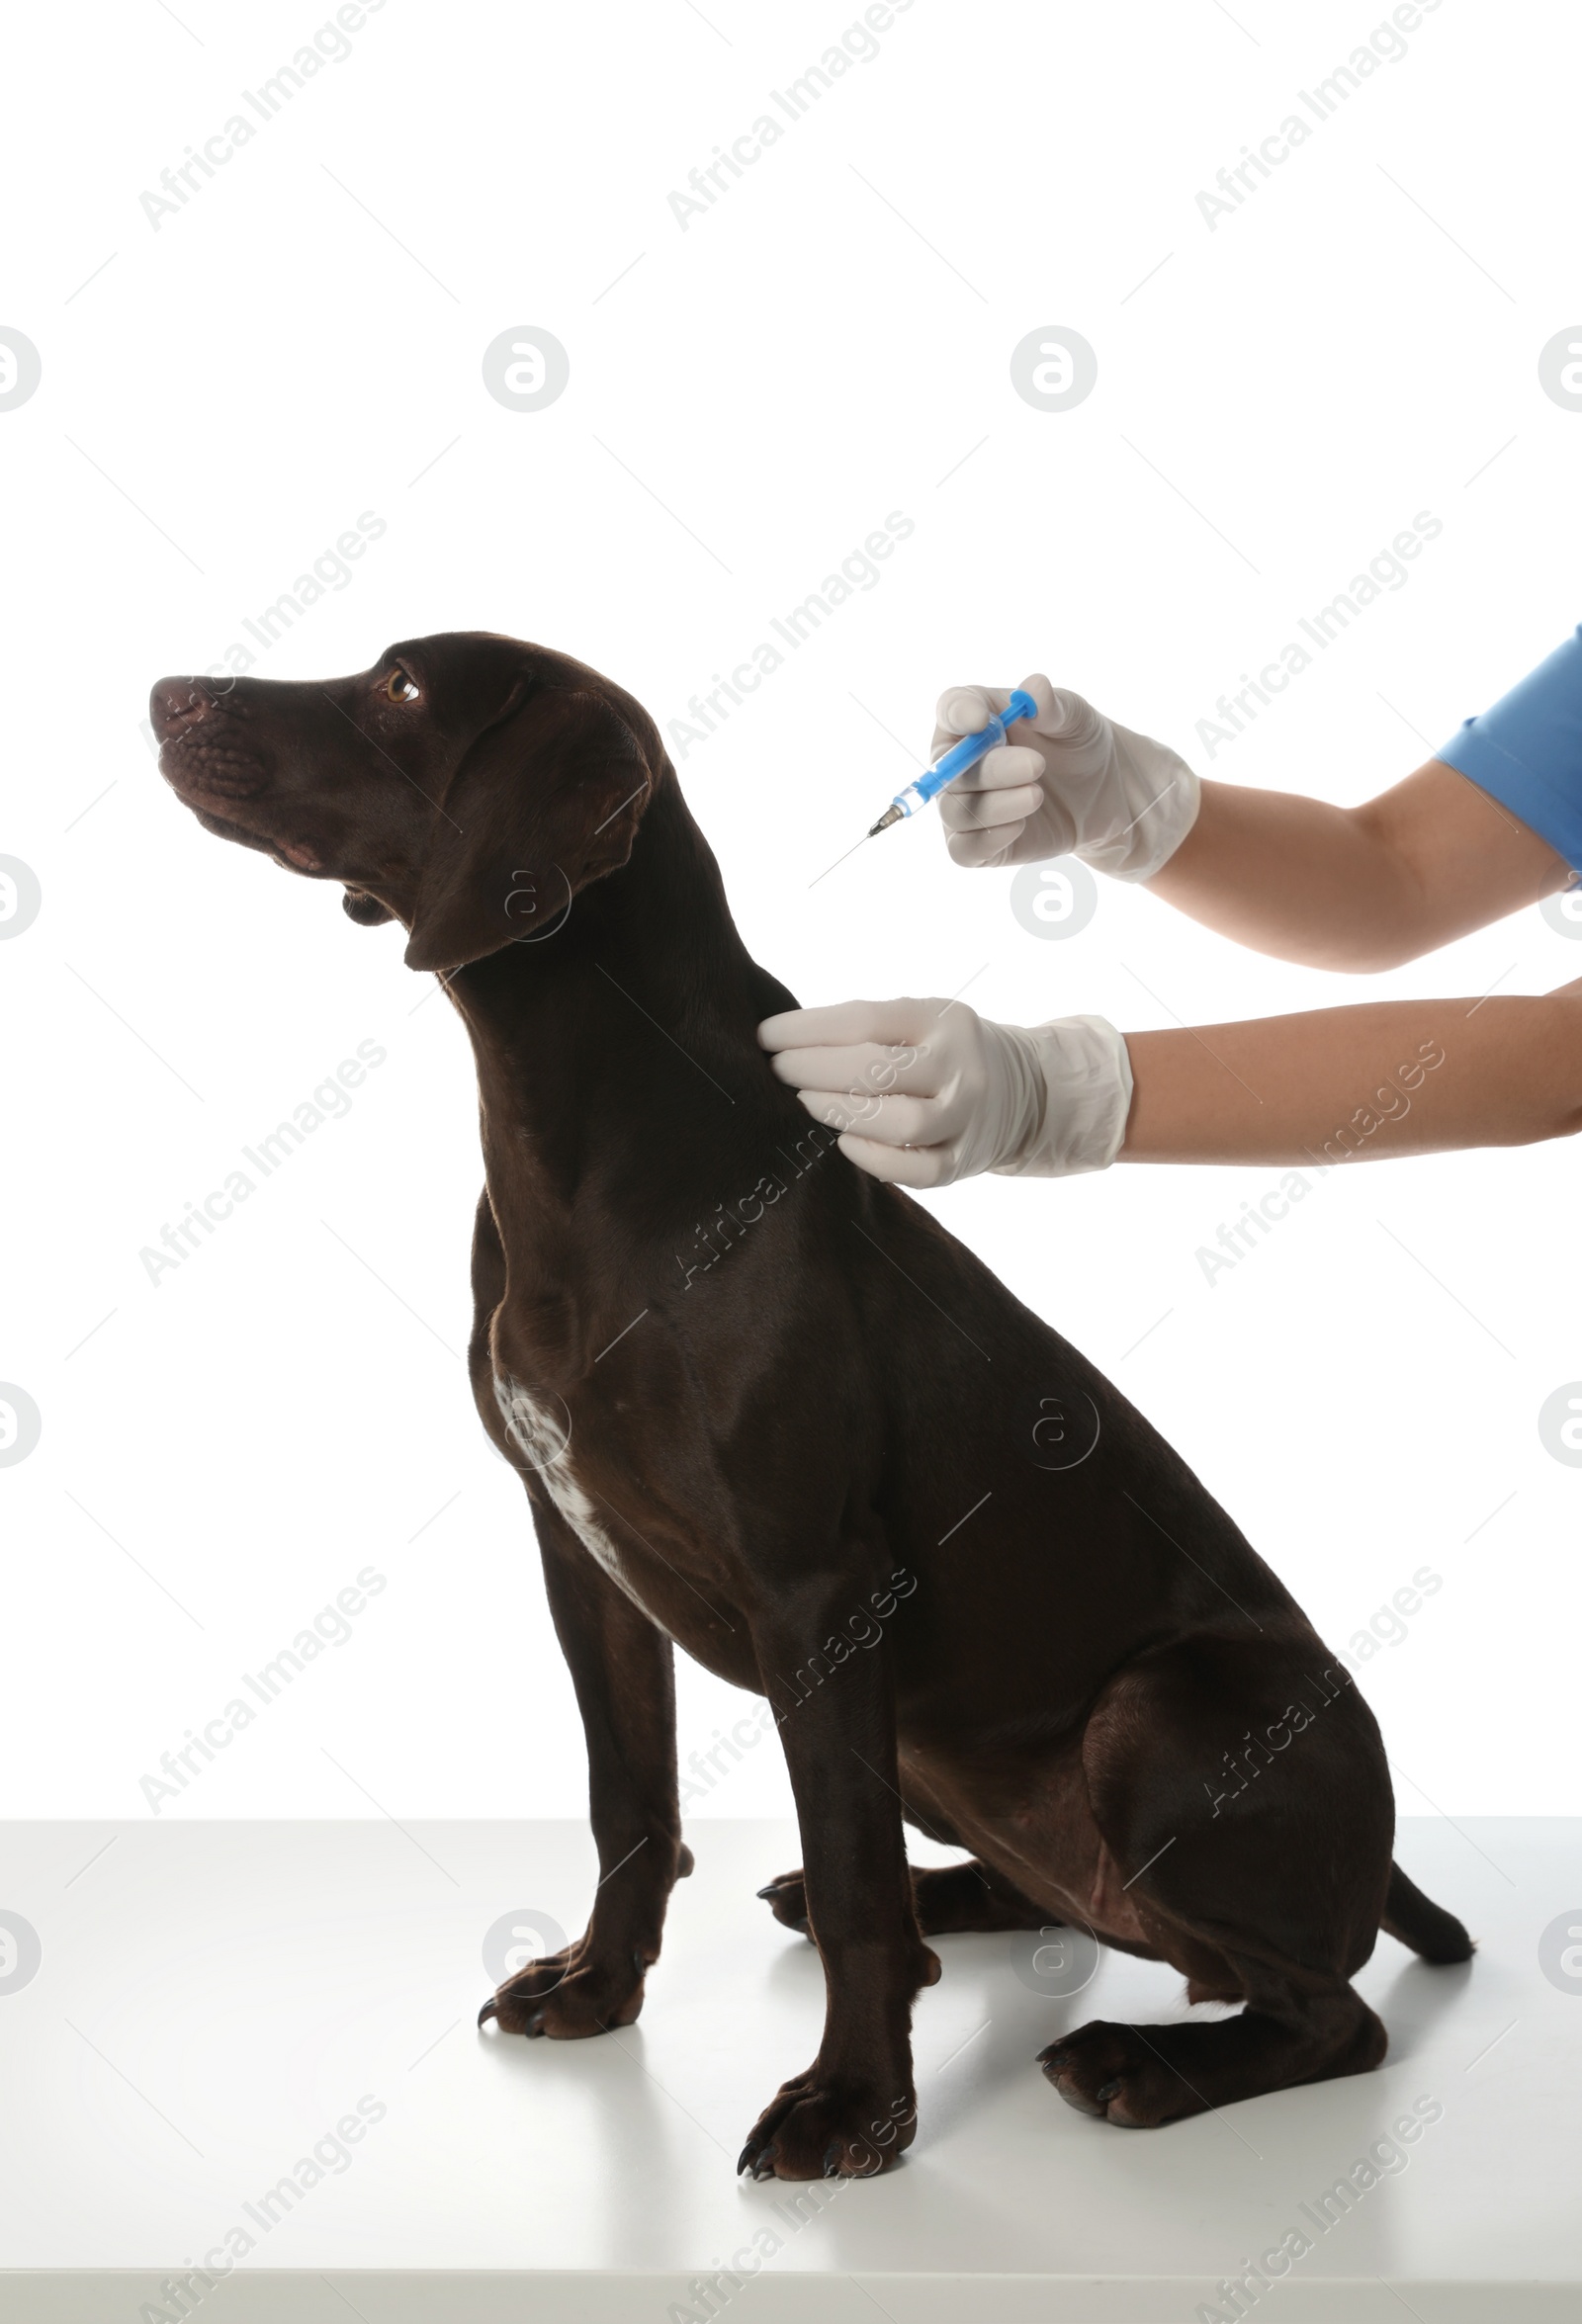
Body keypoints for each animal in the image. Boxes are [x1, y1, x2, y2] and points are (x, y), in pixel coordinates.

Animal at [150, 632, 1467, 2175]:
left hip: (1152, 1714)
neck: (589, 1140)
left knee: (1328, 2008)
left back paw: (1143, 2062)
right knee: (1047, 1897)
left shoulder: (820, 1589)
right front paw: (598, 1981)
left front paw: (853, 2104)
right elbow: (631, 1800)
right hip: (941, 1742)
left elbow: (850, 1880)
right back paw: (957, 1913)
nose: (167, 693)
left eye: (405, 689)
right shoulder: (577, 1551)